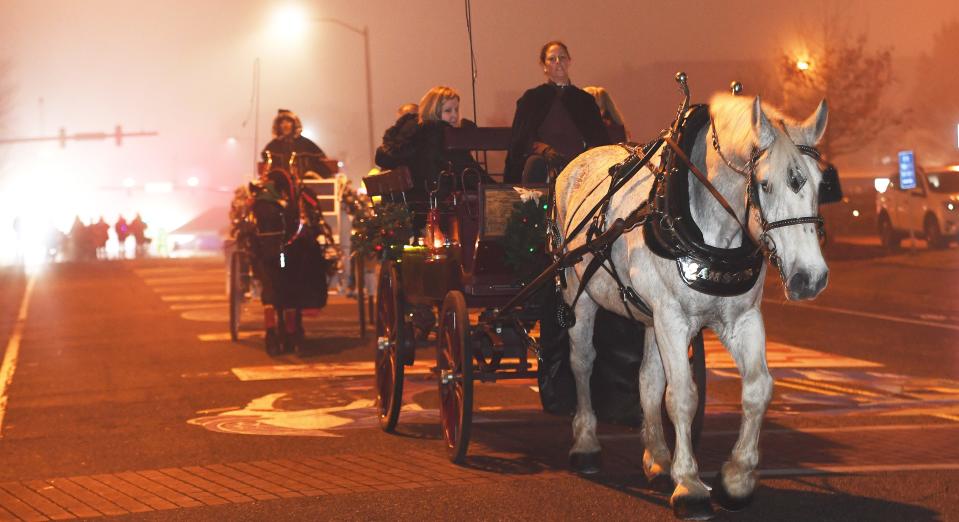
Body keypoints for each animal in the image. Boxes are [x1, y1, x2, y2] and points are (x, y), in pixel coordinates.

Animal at [228, 150, 342, 354]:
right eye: (255, 214)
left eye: (280, 213)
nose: (270, 253)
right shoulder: (262, 264)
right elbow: (271, 297)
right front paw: (273, 338)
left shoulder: (295, 265)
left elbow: (291, 298)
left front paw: (291, 338)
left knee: (295, 298)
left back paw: (296, 331)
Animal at [556, 92, 832, 516]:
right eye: (765, 185)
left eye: (820, 183)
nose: (810, 278)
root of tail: (577, 161)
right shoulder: (672, 319)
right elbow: (683, 397)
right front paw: (689, 484)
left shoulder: (741, 319)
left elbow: (758, 388)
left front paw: (736, 477)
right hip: (580, 295)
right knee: (583, 363)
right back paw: (586, 444)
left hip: (649, 317)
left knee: (648, 380)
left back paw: (656, 458)